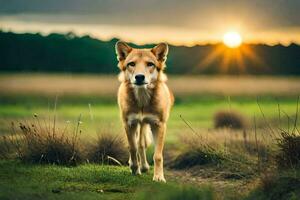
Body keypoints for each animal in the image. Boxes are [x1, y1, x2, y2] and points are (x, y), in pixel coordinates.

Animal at [116, 41, 175, 182]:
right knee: (138, 145)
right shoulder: (129, 124)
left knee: (142, 144)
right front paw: (134, 168)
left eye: (150, 64)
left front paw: (158, 177)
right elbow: (132, 148)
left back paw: (144, 166)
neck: (142, 100)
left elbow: (157, 155)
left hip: (144, 124)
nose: (139, 77)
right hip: (138, 124)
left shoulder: (159, 125)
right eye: (131, 64)